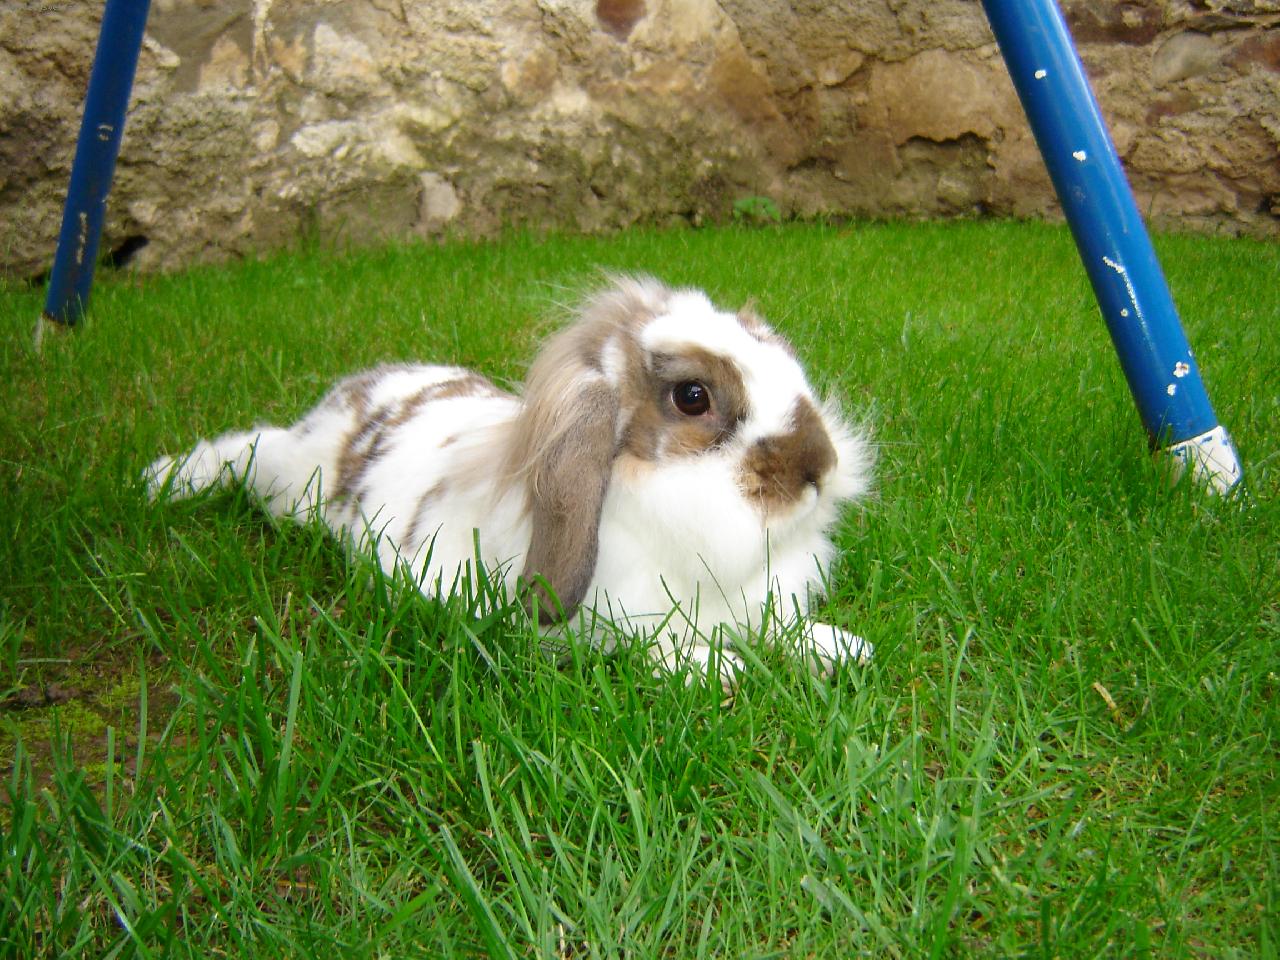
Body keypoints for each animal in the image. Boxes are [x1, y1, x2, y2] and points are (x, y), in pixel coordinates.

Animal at [146, 276, 874, 685]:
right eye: (692, 397)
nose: (818, 469)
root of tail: (351, 395)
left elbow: (782, 630)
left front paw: (842, 648)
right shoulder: (598, 625)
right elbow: (649, 644)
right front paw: (713, 667)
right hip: (286, 480)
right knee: (247, 448)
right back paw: (166, 481)